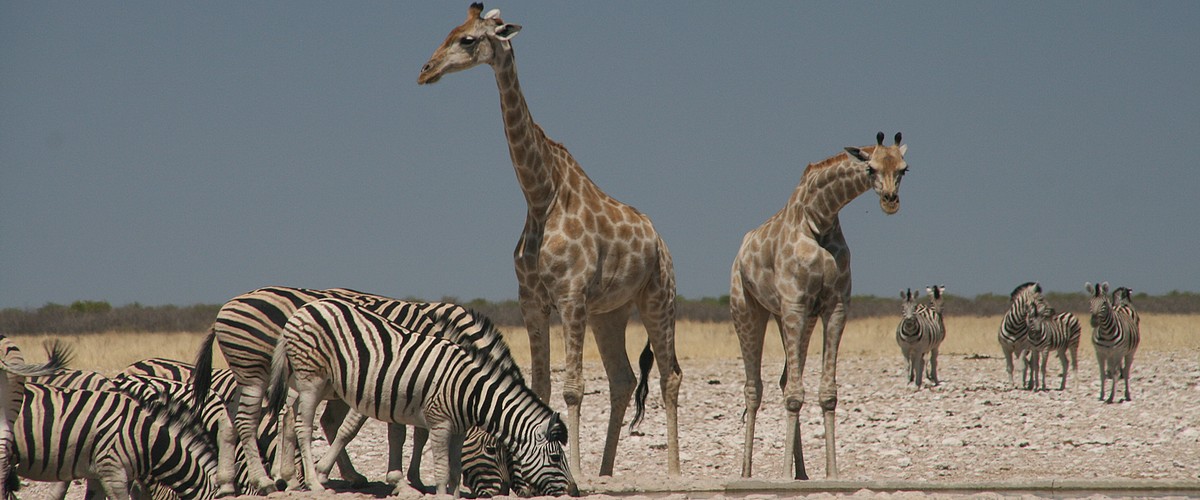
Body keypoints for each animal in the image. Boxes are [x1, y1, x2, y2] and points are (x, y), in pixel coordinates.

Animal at [192, 286, 515, 495]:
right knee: (250, 422)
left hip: (248, 376)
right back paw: (268, 481)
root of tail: (228, 305)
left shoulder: (409, 387)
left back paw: (229, 482)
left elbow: (413, 432)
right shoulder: (389, 381)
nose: (506, 490)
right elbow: (363, 430)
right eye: (494, 447)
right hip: (257, 373)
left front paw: (412, 479)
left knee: (231, 421)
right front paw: (401, 481)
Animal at [265, 298, 577, 496]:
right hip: (313, 381)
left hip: (320, 383)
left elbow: (414, 435)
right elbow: (351, 430)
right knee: (306, 425)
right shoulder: (382, 388)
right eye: (492, 449)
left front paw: (410, 481)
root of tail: (302, 309)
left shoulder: (404, 393)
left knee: (291, 414)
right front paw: (323, 471)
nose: (574, 491)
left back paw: (290, 478)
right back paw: (314, 482)